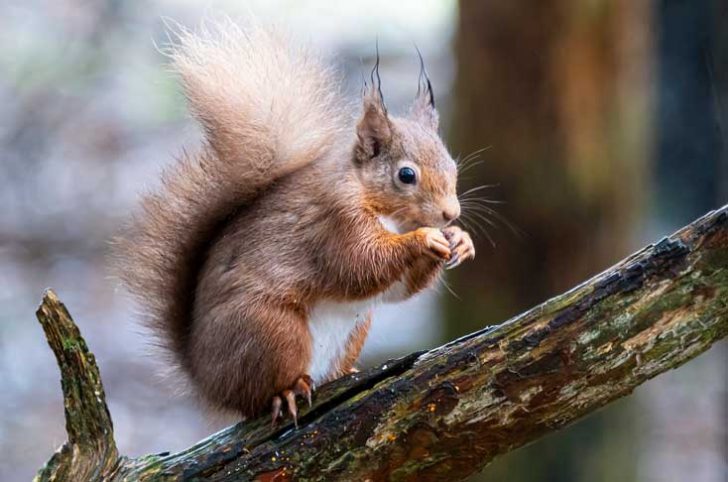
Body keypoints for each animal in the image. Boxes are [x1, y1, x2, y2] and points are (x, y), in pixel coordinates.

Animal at [112, 19, 478, 426]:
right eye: (406, 175)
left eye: (453, 166)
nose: (450, 213)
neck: (389, 214)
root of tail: (205, 378)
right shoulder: (335, 222)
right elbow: (361, 264)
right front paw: (424, 239)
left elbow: (396, 289)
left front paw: (460, 240)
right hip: (272, 331)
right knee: (258, 394)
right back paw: (286, 391)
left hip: (354, 328)